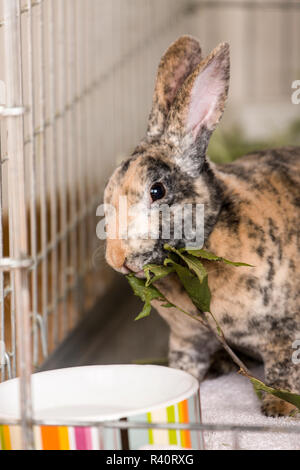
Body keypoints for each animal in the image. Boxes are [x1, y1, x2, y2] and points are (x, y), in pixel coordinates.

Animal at [103, 37, 300, 418]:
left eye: (157, 191)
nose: (116, 258)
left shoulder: (285, 332)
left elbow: (283, 366)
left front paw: (279, 408)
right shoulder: (187, 339)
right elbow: (185, 366)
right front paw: (182, 378)